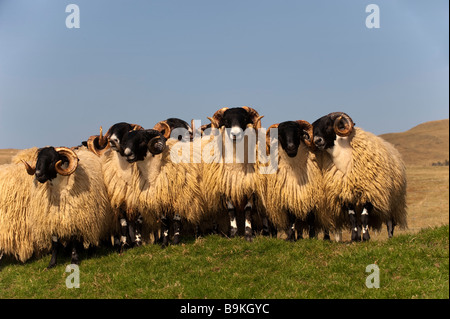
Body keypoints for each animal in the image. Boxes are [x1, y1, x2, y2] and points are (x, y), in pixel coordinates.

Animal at [312, 111, 406, 241]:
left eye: (328, 125)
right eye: (314, 129)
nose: (317, 141)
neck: (345, 160)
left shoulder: (370, 193)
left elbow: (364, 217)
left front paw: (366, 237)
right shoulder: (347, 195)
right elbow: (353, 219)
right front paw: (355, 237)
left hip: (392, 201)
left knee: (389, 222)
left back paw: (390, 237)